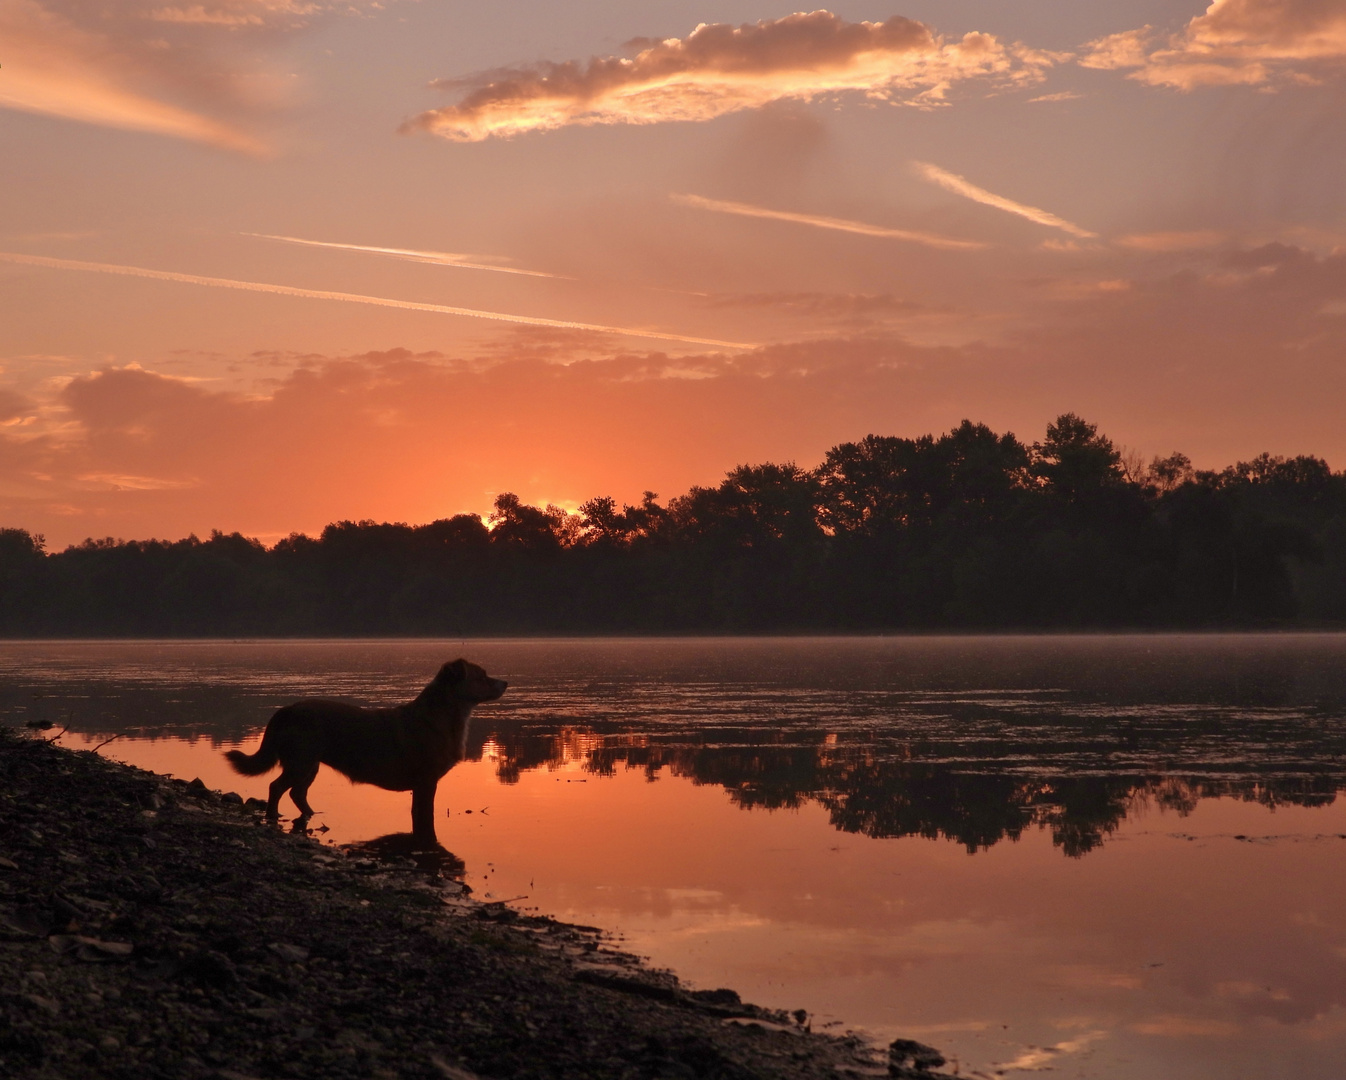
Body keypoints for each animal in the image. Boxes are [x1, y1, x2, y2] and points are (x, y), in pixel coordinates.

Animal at [224, 657, 506, 840]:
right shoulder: (426, 782)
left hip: (309, 765)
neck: (443, 716)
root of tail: (287, 710)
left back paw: (310, 814)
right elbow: (424, 812)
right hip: (300, 762)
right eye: (481, 676)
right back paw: (273, 815)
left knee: (297, 792)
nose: (505, 682)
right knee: (277, 787)